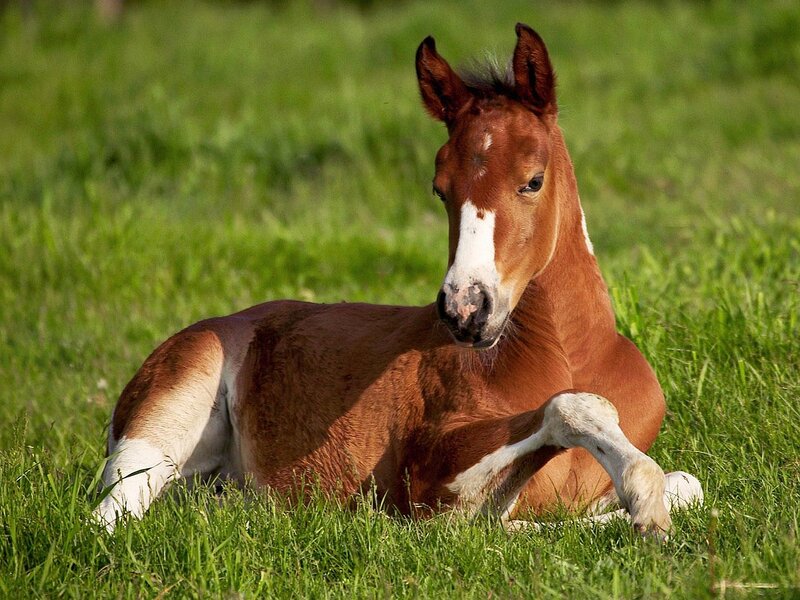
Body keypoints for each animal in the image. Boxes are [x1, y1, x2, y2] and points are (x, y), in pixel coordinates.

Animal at [94, 24, 702, 535]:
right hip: (165, 416)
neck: (571, 356)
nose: (465, 308)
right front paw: (643, 501)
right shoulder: (428, 479)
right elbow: (565, 417)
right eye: (440, 189)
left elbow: (688, 485)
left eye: (533, 180)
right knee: (110, 515)